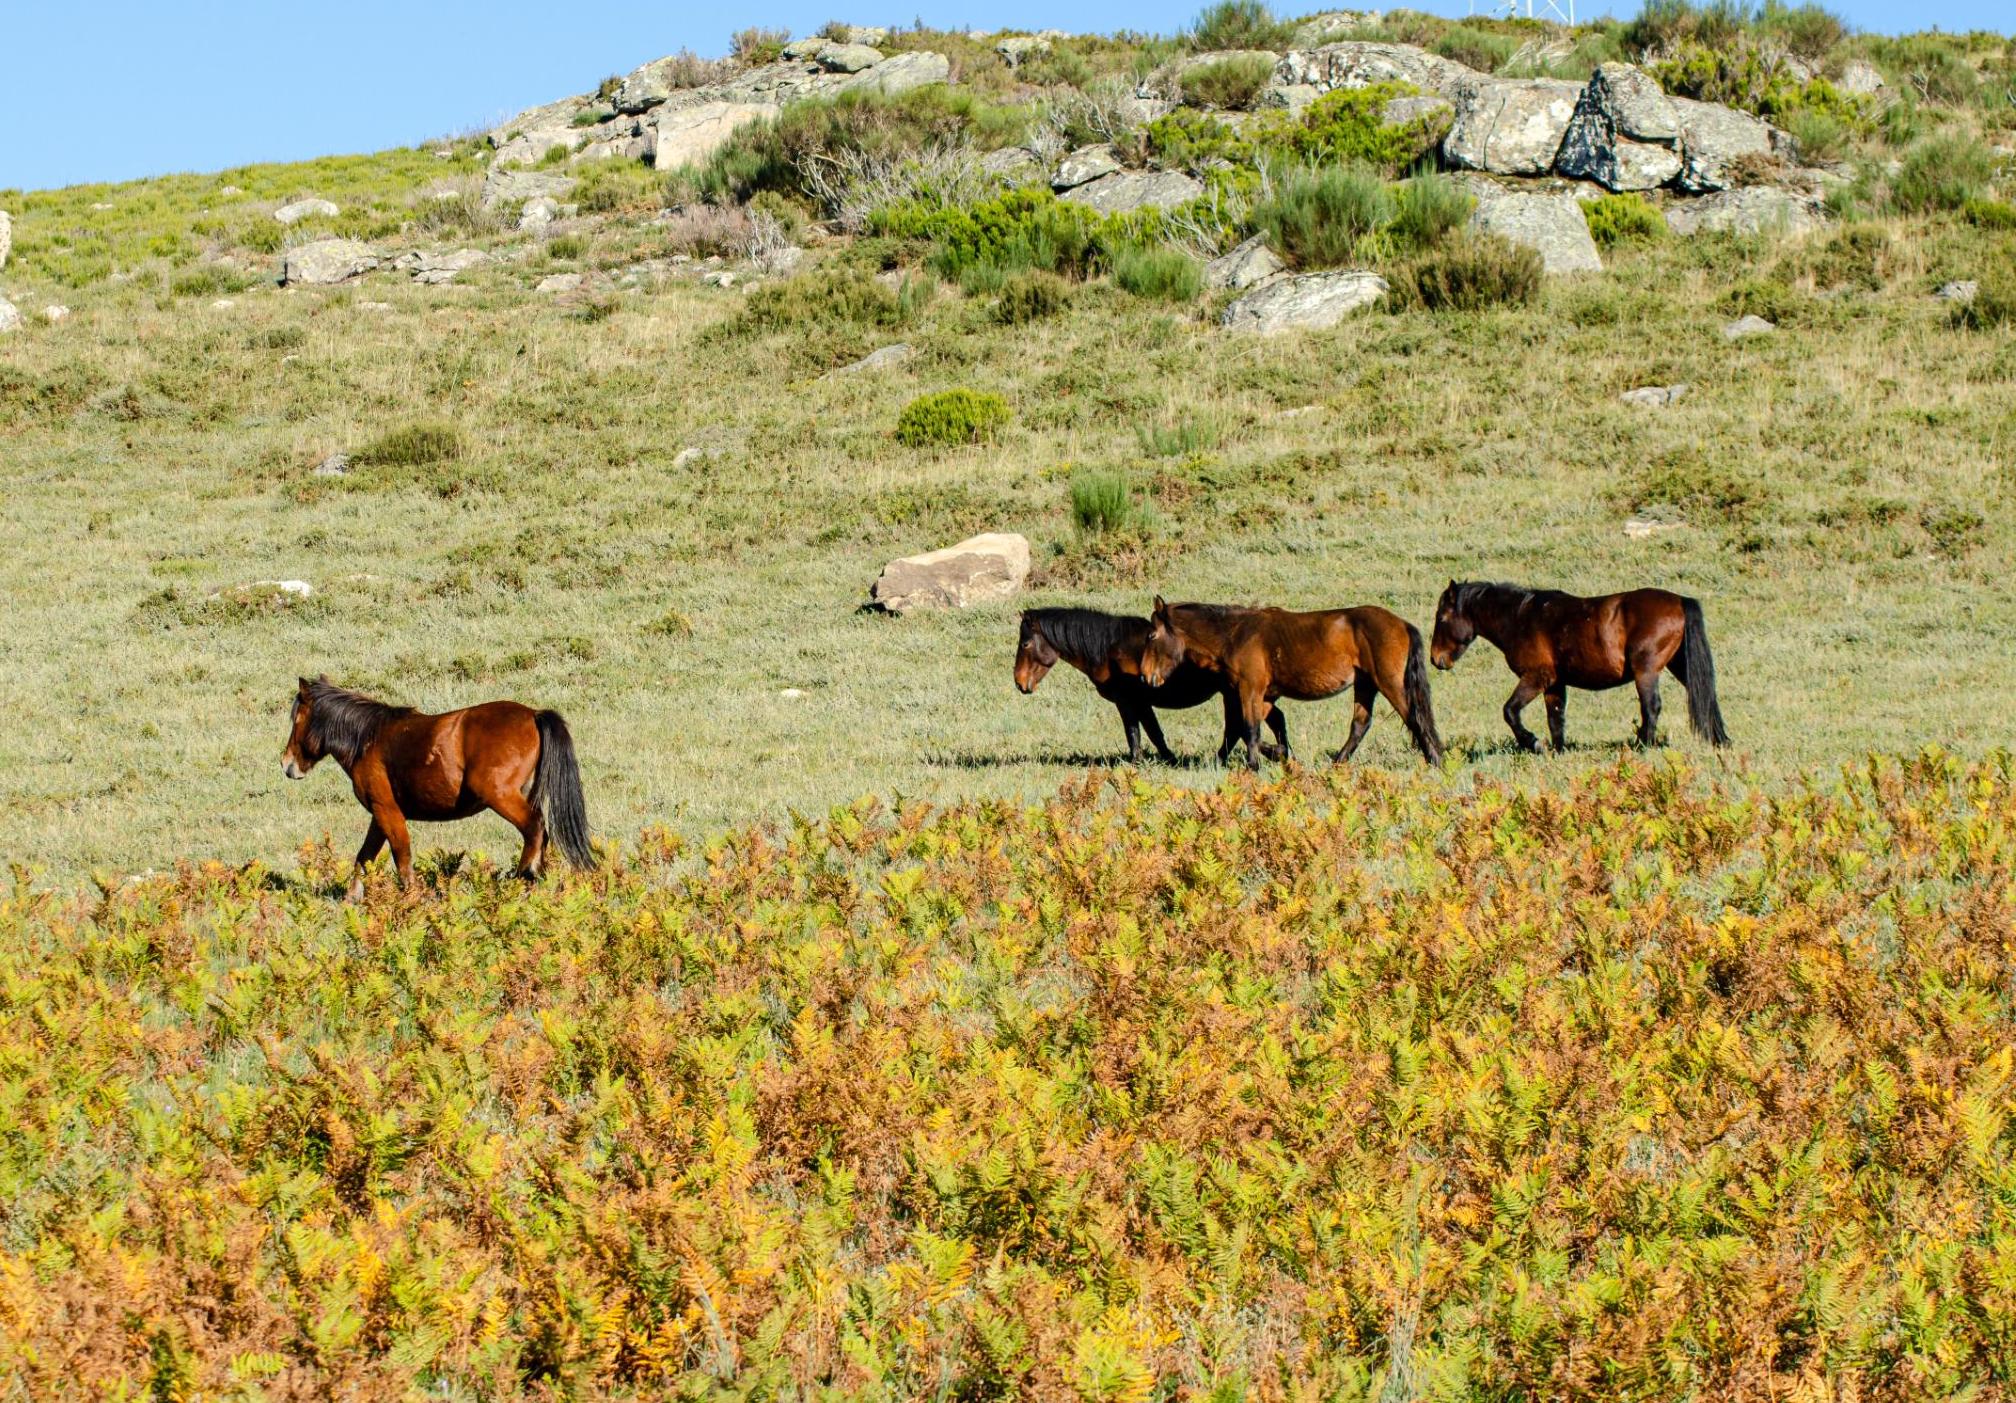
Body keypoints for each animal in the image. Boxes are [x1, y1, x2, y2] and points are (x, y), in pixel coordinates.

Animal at [286, 677, 596, 899]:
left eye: (296, 719)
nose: (287, 764)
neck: (369, 739)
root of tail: (533, 714)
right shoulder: (379, 814)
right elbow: (364, 857)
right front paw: (352, 898)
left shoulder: (387, 811)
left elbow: (401, 855)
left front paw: (413, 898)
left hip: (501, 796)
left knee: (535, 828)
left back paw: (523, 877)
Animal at [1008, 608, 1290, 766]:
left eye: (1024, 644)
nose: (1019, 682)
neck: (1109, 648)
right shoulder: (1138, 703)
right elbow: (1151, 733)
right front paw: (1167, 759)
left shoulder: (1128, 701)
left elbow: (1138, 733)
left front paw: (1142, 761)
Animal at [1145, 592, 1443, 766]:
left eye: (1152, 635)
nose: (1148, 677)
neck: (1235, 633)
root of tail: (1402, 624)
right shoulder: (1264, 696)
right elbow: (1248, 730)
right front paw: (1277, 754)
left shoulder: (1249, 690)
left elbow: (1248, 730)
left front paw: (1255, 765)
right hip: (1366, 684)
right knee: (1361, 724)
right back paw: (1338, 762)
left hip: (1389, 683)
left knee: (1414, 718)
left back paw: (1434, 760)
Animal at [1419, 580, 1733, 757]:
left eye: (1442, 617)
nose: (1436, 659)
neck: (1521, 618)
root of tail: (1680, 601)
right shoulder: (1555, 684)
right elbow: (1556, 719)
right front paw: (1557, 751)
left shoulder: (1537, 678)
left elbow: (1510, 711)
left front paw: (1532, 743)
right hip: (1680, 666)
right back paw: (1721, 740)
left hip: (1646, 670)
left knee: (1651, 707)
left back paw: (1642, 746)